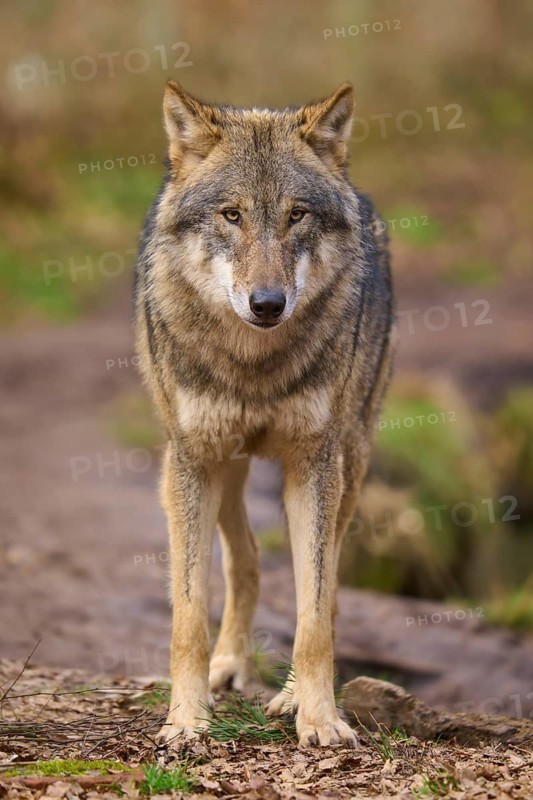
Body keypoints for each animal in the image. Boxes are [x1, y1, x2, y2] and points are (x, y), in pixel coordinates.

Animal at [134, 81, 394, 747]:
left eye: (296, 215)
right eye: (232, 215)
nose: (268, 304)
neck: (254, 363)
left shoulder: (315, 466)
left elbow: (314, 611)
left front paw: (318, 716)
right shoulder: (189, 462)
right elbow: (189, 615)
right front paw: (186, 719)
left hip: (352, 461)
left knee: (325, 585)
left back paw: (287, 694)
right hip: (226, 468)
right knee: (245, 559)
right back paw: (230, 665)